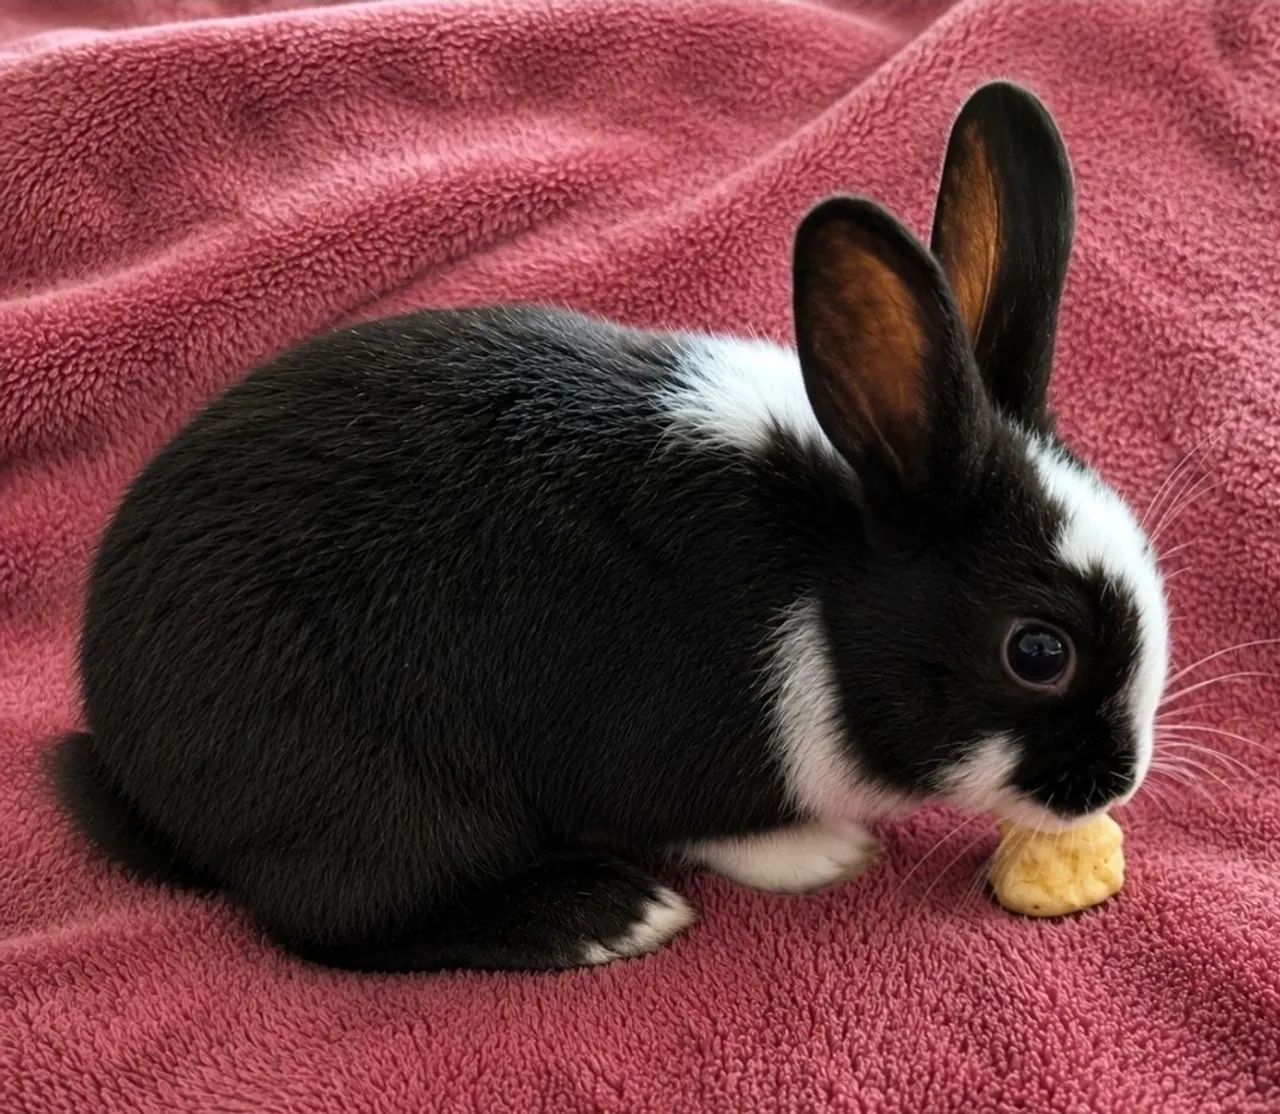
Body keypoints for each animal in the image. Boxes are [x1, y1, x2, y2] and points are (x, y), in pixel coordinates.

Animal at [54, 82, 1168, 973]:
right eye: (1037, 651)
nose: (1115, 780)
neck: (825, 587)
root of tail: (130, 751)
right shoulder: (681, 745)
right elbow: (723, 825)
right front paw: (825, 852)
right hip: (361, 792)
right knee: (342, 925)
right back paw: (608, 914)